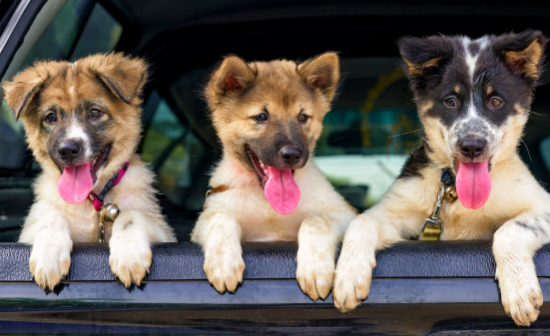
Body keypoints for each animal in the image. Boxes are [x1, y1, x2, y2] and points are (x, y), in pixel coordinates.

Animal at [1, 53, 175, 290]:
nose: (68, 149)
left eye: (94, 113)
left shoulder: (164, 232)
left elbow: (129, 214)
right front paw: (48, 256)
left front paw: (129, 254)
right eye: (51, 117)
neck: (92, 200)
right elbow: (53, 214)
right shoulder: (28, 231)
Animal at [192, 53, 358, 300]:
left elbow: (315, 219)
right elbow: (220, 218)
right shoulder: (205, 219)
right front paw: (223, 262)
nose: (292, 155)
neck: (267, 204)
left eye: (303, 117)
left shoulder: (344, 213)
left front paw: (315, 268)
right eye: (261, 117)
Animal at [332, 30, 550, 326]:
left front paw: (519, 291)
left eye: (496, 101)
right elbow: (362, 220)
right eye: (451, 101)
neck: (457, 195)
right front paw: (348, 276)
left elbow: (510, 228)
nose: (472, 146)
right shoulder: (398, 214)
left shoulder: (542, 204)